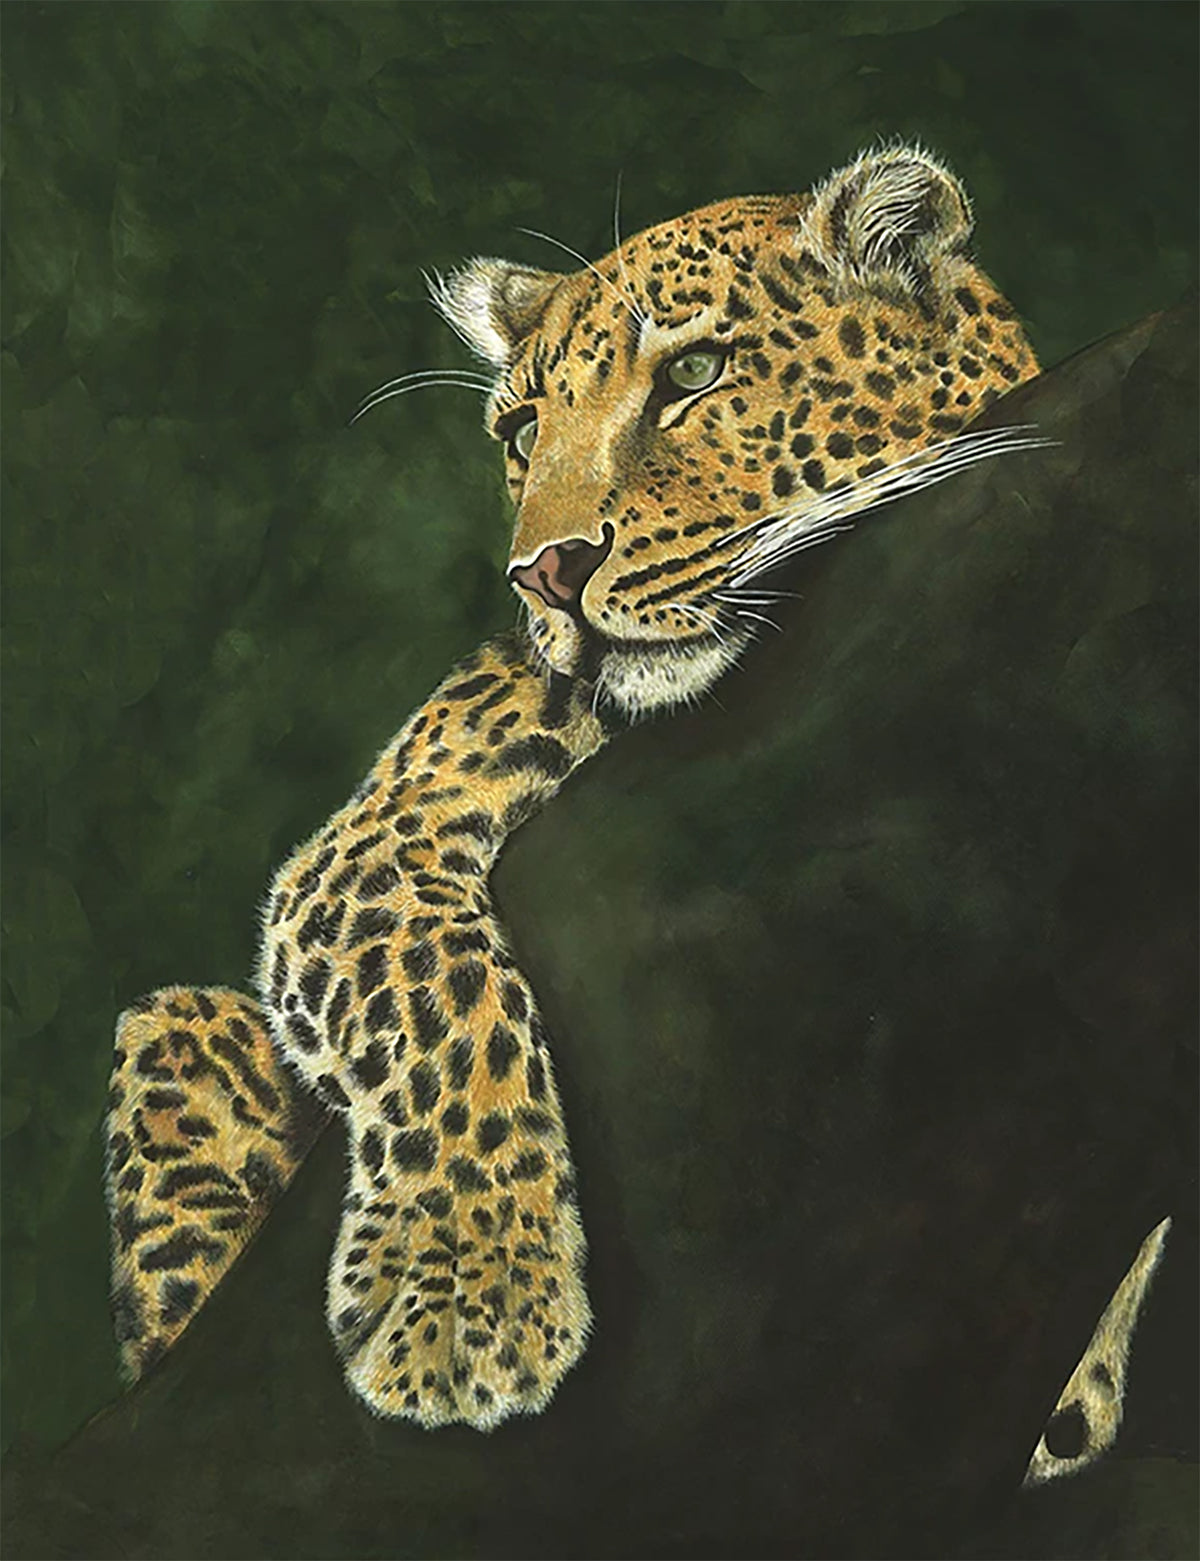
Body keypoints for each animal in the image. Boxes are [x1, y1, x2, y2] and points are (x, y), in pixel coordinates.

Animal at [104, 143, 1167, 1465]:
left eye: (695, 375)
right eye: (522, 431)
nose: (542, 572)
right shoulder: (364, 847)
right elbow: (437, 997)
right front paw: (467, 1299)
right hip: (174, 1026)